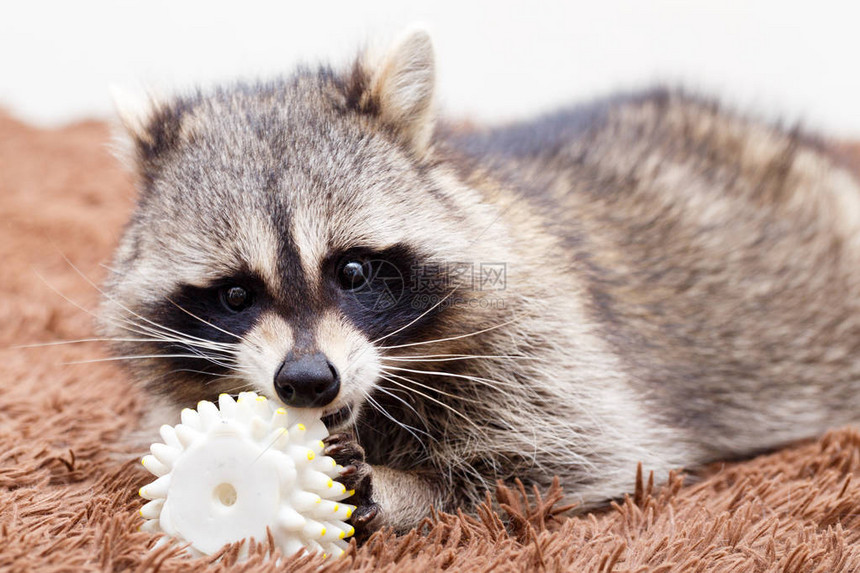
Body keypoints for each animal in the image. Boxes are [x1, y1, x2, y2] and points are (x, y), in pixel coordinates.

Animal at [102, 29, 860, 536]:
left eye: (352, 271)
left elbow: (571, 463)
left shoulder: (546, 348)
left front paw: (402, 490)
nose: (309, 381)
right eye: (236, 294)